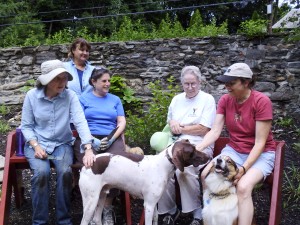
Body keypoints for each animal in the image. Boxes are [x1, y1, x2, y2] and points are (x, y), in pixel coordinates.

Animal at [78, 139, 209, 225]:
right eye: (192, 151)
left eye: (195, 147)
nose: (208, 156)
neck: (163, 165)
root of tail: (84, 166)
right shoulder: (149, 205)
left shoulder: (154, 203)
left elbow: (155, 219)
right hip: (91, 202)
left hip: (101, 196)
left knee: (96, 219)